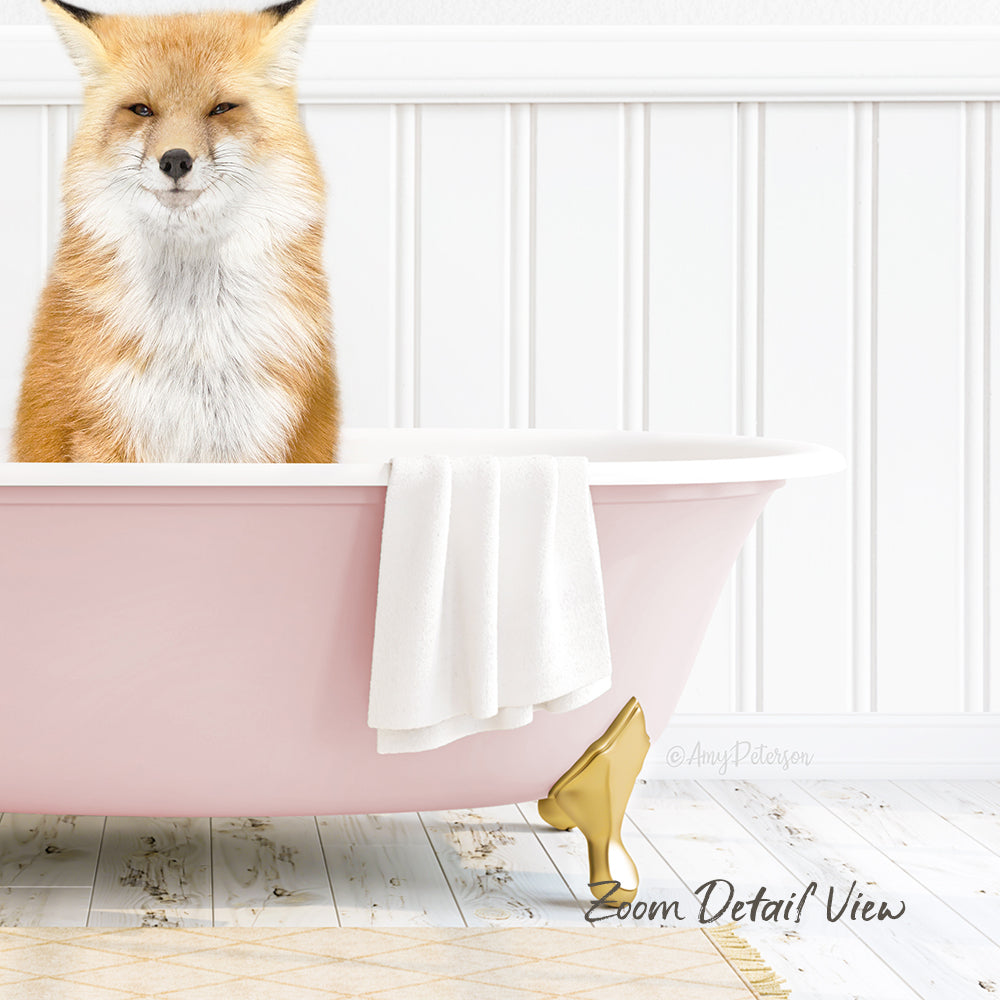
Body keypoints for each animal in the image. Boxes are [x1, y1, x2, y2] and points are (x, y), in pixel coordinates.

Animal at [13, 0, 339, 463]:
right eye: (142, 110)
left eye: (221, 108)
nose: (175, 160)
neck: (192, 345)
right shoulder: (104, 431)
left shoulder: (259, 436)